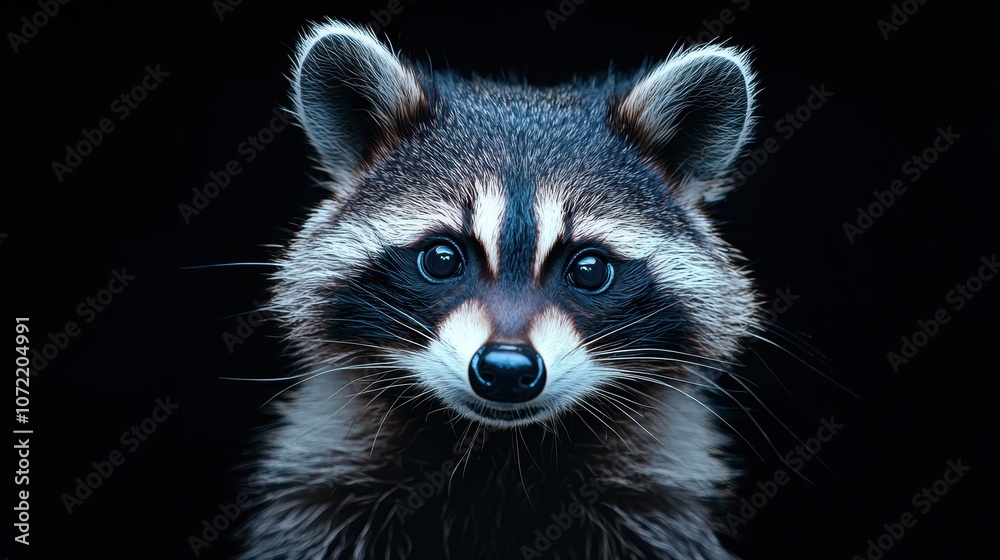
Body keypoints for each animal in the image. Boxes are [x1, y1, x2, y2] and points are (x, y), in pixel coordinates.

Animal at [235, 20, 761, 560]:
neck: (498, 449)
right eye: (442, 259)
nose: (507, 369)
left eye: (590, 269)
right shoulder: (325, 492)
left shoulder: (653, 508)